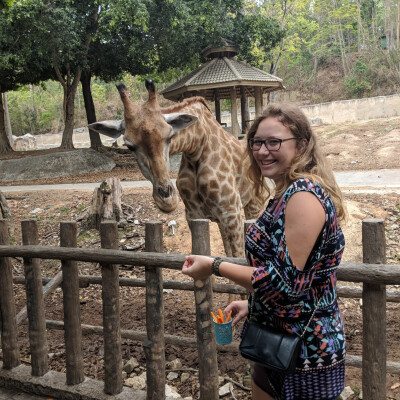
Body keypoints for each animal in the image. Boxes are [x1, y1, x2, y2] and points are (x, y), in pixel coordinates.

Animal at [88, 79, 262, 264]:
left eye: (170, 136)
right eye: (129, 146)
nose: (167, 200)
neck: (197, 147)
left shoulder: (232, 213)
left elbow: (239, 258)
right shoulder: (195, 215)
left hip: (255, 203)